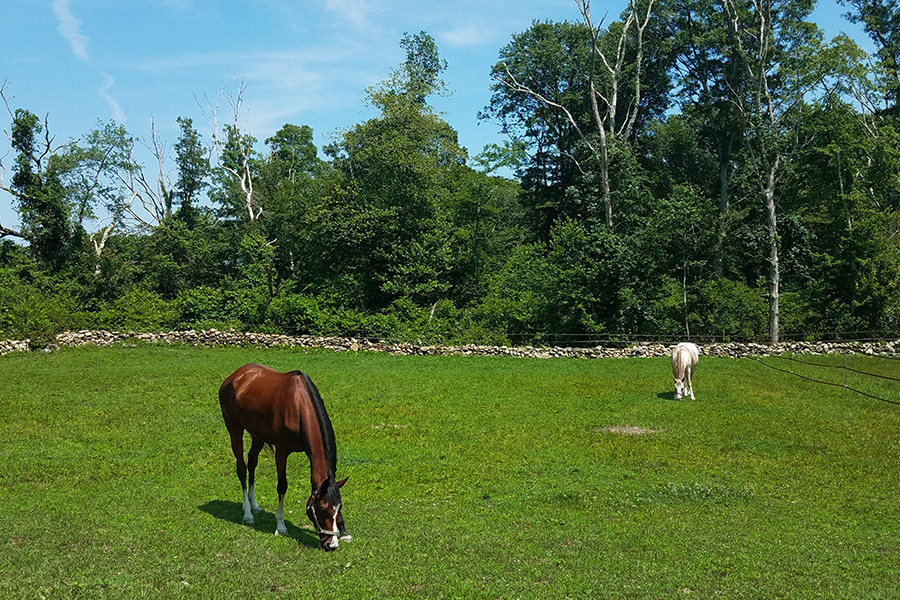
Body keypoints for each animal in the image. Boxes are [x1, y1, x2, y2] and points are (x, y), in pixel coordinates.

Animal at [218, 364, 352, 552]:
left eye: (339, 508)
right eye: (321, 508)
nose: (331, 545)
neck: (299, 406)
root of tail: (235, 376)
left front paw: (344, 532)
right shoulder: (281, 451)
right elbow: (282, 486)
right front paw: (280, 525)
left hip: (257, 435)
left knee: (252, 462)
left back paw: (254, 504)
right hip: (234, 429)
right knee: (242, 467)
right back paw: (248, 513)